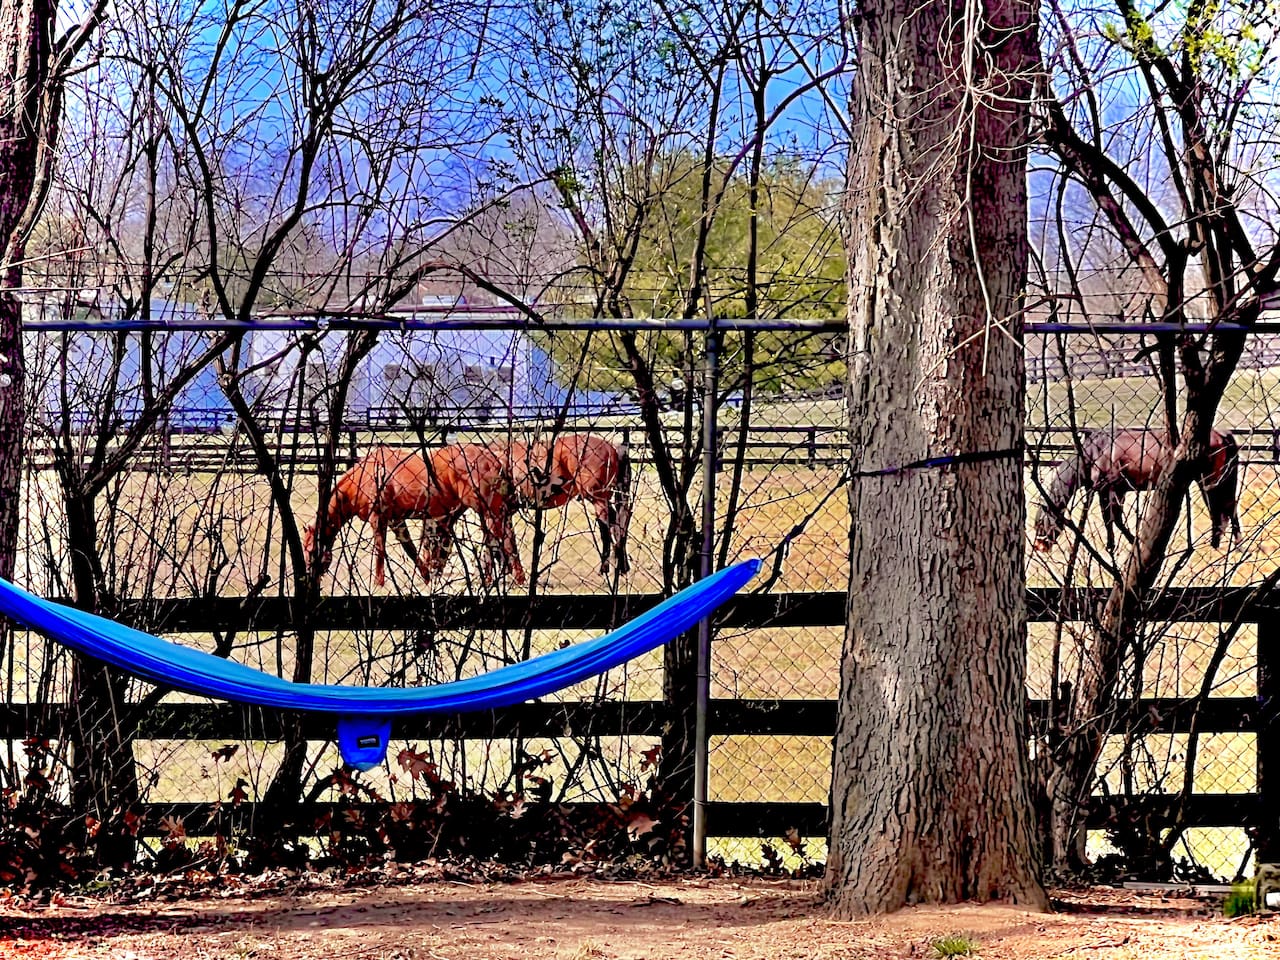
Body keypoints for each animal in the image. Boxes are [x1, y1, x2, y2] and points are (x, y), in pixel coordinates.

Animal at [303, 444, 524, 587]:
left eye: (312, 549)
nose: (309, 577)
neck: (366, 475)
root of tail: (494, 458)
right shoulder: (396, 520)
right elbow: (410, 549)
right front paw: (427, 578)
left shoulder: (379, 519)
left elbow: (380, 552)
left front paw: (378, 584)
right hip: (488, 513)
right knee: (497, 541)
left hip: (489, 511)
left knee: (505, 541)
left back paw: (513, 579)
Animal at [492, 433, 632, 578]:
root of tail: (612, 448)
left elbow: (505, 544)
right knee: (618, 525)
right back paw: (622, 566)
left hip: (597, 499)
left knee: (607, 528)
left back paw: (606, 567)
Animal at [1031, 427, 1241, 553]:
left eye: (1041, 523)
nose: (1039, 547)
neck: (1095, 451)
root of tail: (1222, 434)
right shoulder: (1113, 491)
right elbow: (1112, 519)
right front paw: (1113, 546)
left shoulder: (1111, 489)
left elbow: (1113, 519)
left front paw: (1130, 543)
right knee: (1228, 509)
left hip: (1210, 481)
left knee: (1222, 510)